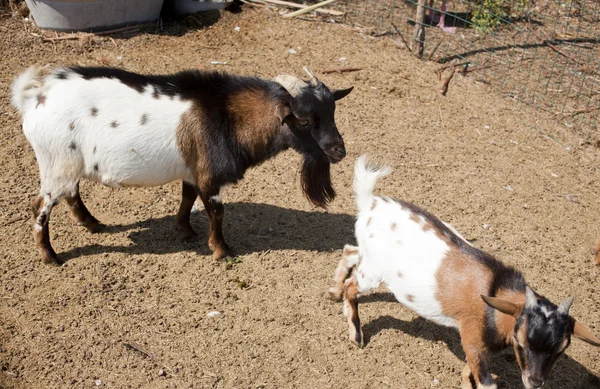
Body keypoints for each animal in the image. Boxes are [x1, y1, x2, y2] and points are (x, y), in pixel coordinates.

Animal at [12, 66, 352, 264]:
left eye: (334, 112)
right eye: (304, 120)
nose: (339, 151)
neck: (226, 114)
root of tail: (35, 98)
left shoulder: (192, 169)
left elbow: (187, 197)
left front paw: (185, 230)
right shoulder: (210, 175)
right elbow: (216, 211)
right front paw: (222, 251)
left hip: (68, 165)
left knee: (71, 194)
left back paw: (94, 224)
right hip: (56, 163)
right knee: (40, 208)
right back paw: (50, 256)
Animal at [330, 155, 596, 388]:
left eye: (561, 350)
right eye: (521, 342)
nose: (535, 382)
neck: (497, 292)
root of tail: (370, 203)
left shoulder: (477, 348)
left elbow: (469, 371)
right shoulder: (472, 338)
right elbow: (486, 381)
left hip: (368, 257)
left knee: (349, 250)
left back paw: (333, 291)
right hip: (373, 272)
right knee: (352, 286)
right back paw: (355, 334)